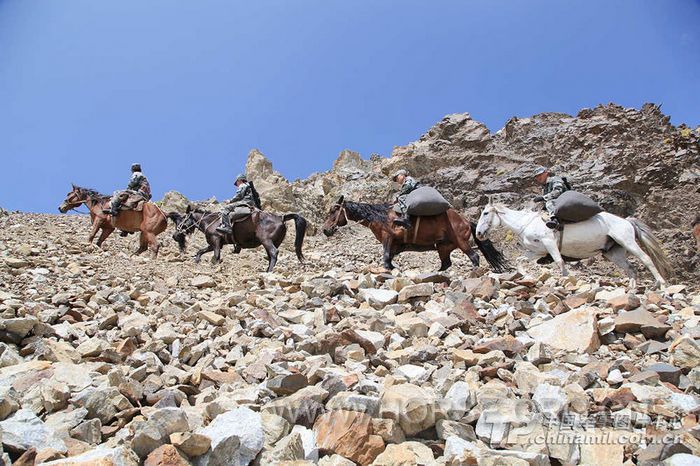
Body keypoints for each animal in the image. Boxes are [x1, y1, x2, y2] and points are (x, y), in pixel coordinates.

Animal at [168, 206, 308, 272]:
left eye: (182, 219)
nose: (174, 236)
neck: (210, 221)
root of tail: (281, 218)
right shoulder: (214, 243)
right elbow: (200, 251)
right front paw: (196, 261)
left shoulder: (216, 241)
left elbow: (216, 256)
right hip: (274, 242)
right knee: (271, 255)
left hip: (266, 240)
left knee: (274, 253)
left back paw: (269, 271)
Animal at [322, 195, 508, 272]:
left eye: (333, 211)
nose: (325, 230)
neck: (380, 216)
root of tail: (466, 221)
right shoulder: (396, 244)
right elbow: (389, 259)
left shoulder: (388, 237)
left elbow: (385, 256)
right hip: (443, 247)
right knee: (446, 264)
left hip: (461, 242)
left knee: (474, 257)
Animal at [476, 202, 672, 290]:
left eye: (485, 213)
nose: (478, 233)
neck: (525, 223)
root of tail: (627, 221)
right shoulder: (537, 251)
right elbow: (520, 260)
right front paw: (527, 275)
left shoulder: (549, 243)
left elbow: (559, 262)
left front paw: (565, 281)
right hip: (613, 253)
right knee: (630, 268)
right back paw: (631, 289)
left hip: (627, 241)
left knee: (646, 259)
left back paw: (661, 284)